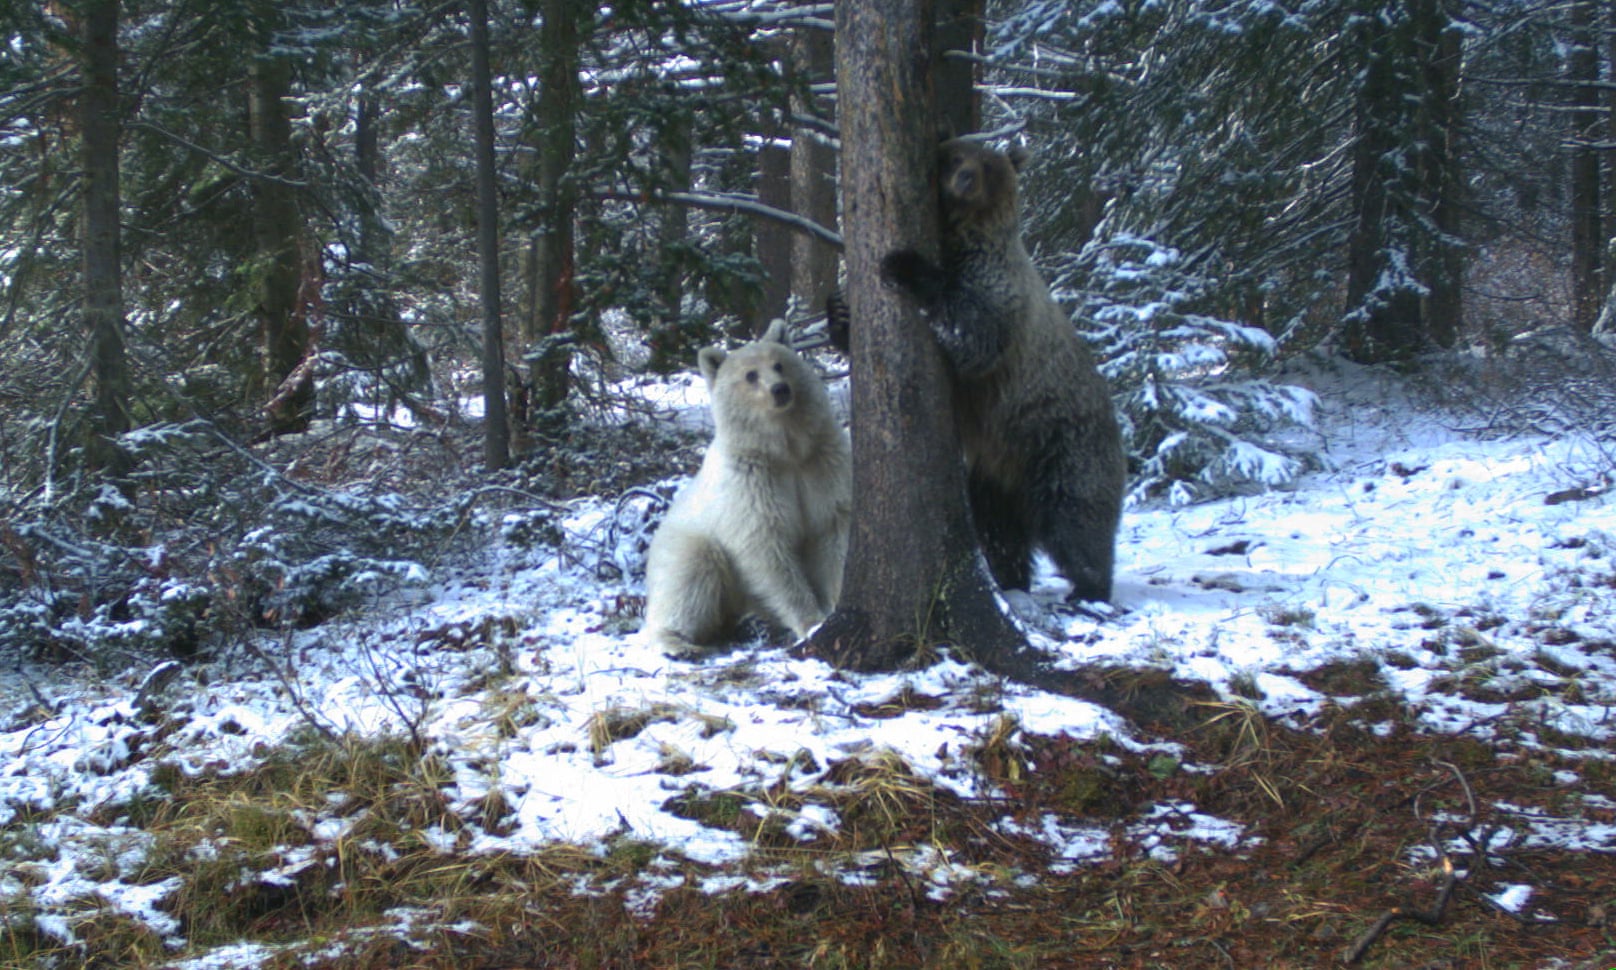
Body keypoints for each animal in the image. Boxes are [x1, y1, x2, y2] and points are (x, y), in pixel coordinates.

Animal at [643, 321, 853, 656]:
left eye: (779, 364)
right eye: (750, 375)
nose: (780, 389)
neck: (784, 451)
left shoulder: (823, 465)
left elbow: (832, 532)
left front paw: (834, 604)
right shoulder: (751, 484)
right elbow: (767, 549)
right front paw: (810, 623)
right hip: (687, 542)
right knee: (688, 578)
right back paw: (677, 642)